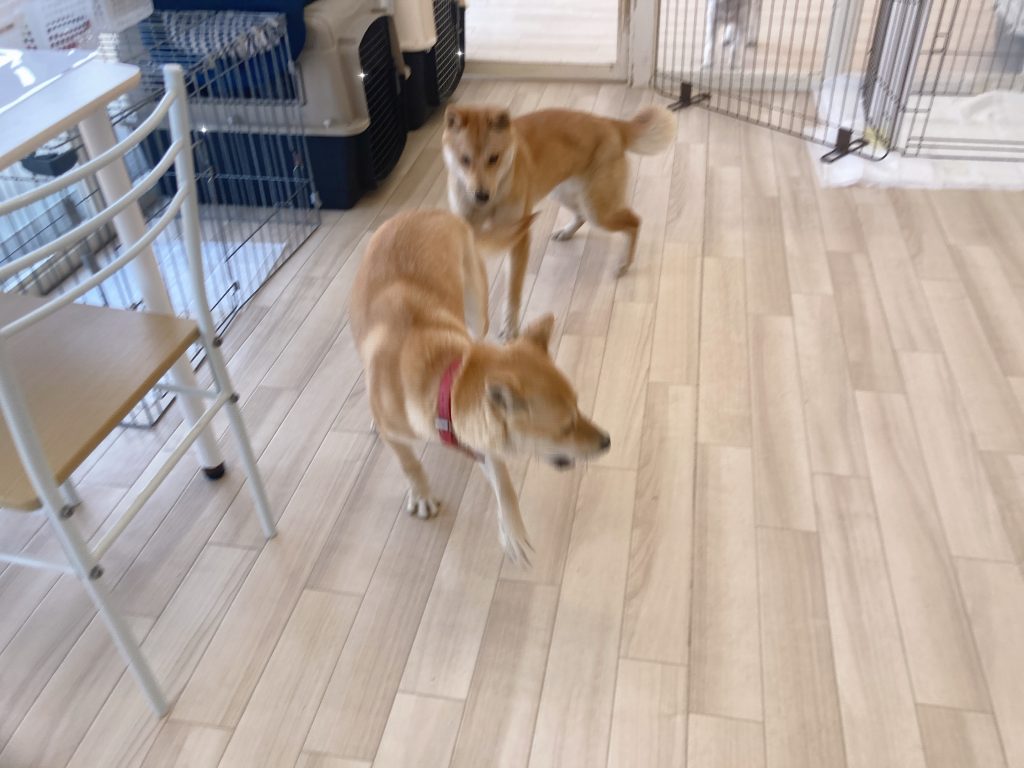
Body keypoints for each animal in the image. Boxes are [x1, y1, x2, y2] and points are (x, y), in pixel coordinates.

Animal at [349, 209, 611, 564]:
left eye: (579, 408)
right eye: (565, 427)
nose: (607, 441)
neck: (444, 382)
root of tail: (428, 211)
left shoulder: (479, 436)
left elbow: (504, 482)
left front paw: (513, 532)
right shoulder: (404, 437)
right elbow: (410, 464)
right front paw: (422, 495)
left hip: (476, 307)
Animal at [442, 103, 676, 339]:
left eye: (494, 158)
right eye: (464, 159)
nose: (481, 195)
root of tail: (610, 124)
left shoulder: (518, 239)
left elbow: (513, 292)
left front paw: (510, 327)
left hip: (597, 209)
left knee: (634, 221)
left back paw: (624, 263)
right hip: (565, 193)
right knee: (581, 216)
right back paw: (567, 232)